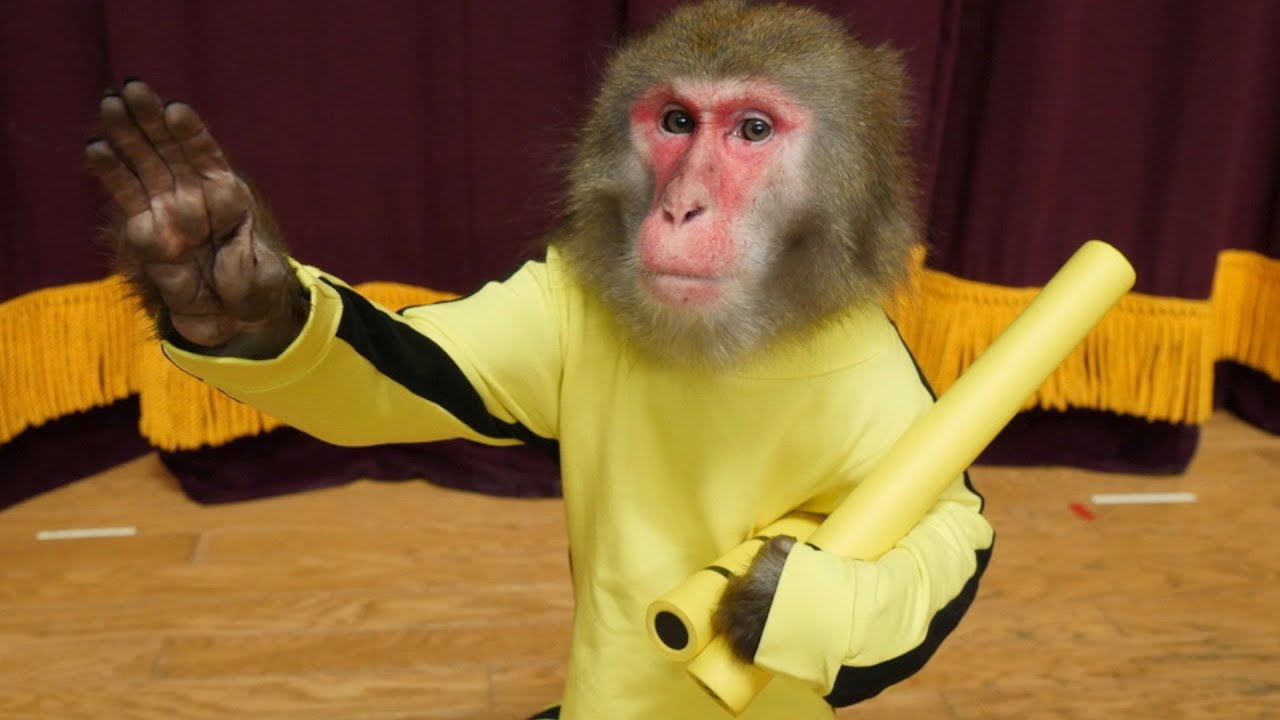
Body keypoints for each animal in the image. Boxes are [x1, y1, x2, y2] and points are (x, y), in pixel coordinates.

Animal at [86, 2, 993, 718]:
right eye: (676, 123)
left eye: (753, 130)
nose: (681, 206)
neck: (742, 343)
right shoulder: (558, 300)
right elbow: (432, 367)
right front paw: (220, 274)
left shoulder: (895, 401)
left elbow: (956, 535)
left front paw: (785, 597)